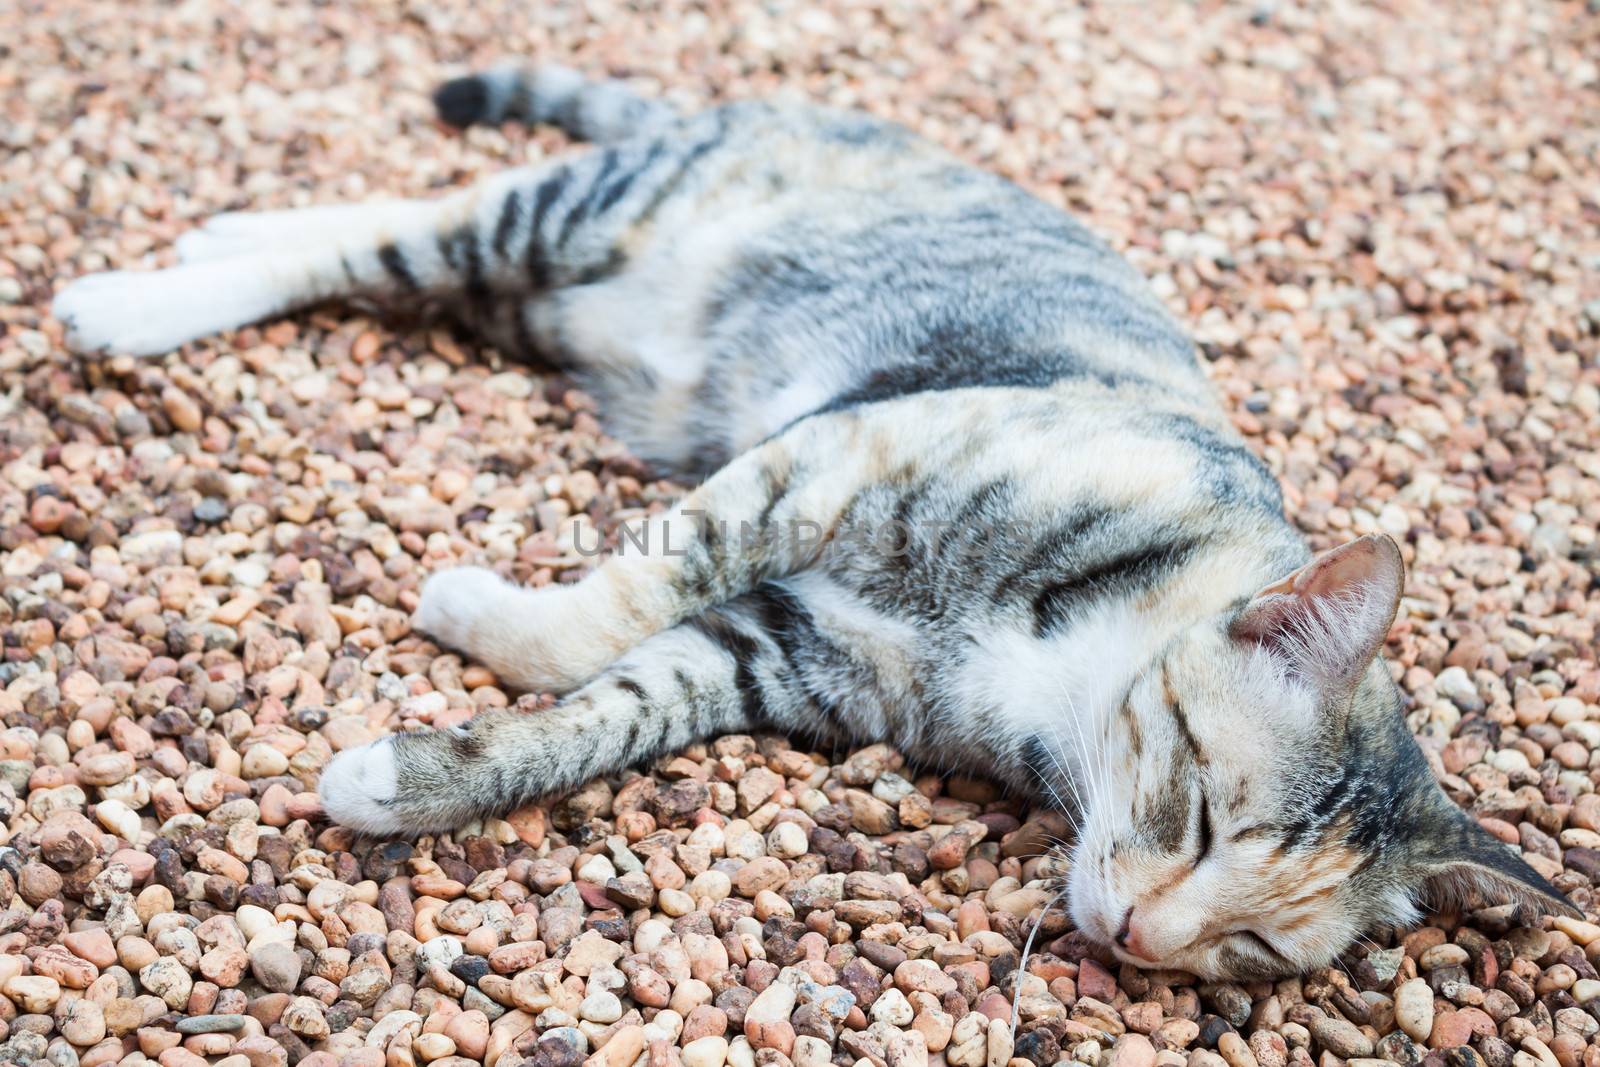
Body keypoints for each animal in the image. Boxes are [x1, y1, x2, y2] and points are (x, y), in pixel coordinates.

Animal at [53, 56, 1574, 979]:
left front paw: (411, 771)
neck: (1061, 679)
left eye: (1253, 951)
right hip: (583, 211)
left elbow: (604, 709)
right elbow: (604, 615)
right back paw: (144, 292)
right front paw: (474, 609)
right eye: (1200, 816)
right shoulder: (829, 463)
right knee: (387, 225)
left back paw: (216, 236)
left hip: (532, 295)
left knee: (386, 254)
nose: (1143, 935)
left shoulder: (783, 652)